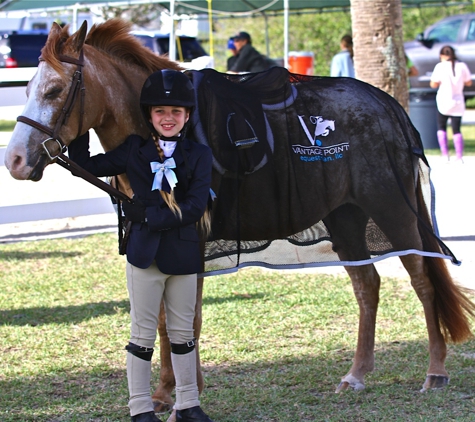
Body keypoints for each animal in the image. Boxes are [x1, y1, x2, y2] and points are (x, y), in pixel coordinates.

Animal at [4, 17, 475, 416]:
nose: (14, 161)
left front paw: (183, 398)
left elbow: (186, 320)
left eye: (54, 91)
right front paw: (164, 394)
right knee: (367, 287)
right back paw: (356, 375)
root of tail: (390, 108)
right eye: (27, 89)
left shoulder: (190, 244)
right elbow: (164, 321)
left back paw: (435, 372)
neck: (158, 141)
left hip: (393, 213)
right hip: (345, 220)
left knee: (423, 281)